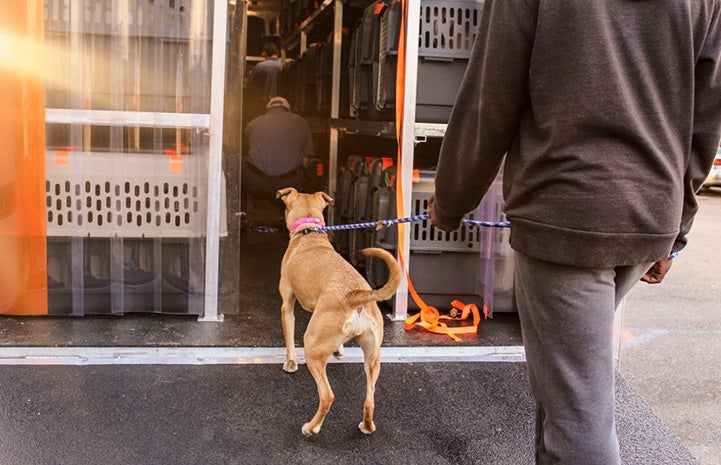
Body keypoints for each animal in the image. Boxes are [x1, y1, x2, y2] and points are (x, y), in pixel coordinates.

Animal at [276, 186, 402, 436]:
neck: (309, 232)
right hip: (373, 358)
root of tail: (357, 296)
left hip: (312, 346)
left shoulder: (287, 303)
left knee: (327, 396)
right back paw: (367, 426)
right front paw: (338, 350)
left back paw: (311, 428)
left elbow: (289, 336)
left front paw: (291, 364)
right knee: (370, 399)